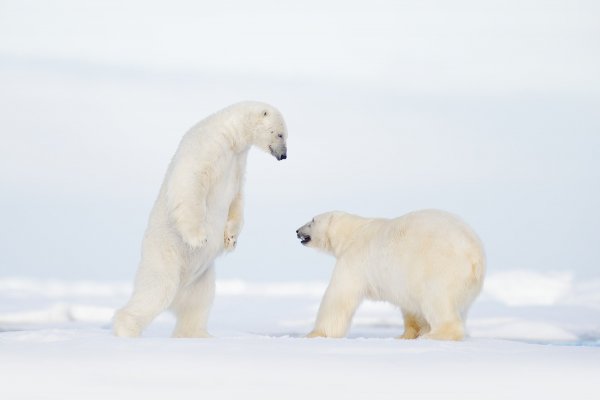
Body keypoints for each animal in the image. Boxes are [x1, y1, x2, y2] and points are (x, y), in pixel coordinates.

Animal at [115, 101, 290, 338]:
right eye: (280, 134)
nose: (284, 155)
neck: (232, 136)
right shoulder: (208, 145)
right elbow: (190, 182)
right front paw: (199, 238)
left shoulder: (238, 163)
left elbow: (237, 199)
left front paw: (231, 240)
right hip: (165, 257)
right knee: (156, 291)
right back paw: (127, 329)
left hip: (201, 277)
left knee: (198, 303)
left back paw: (197, 334)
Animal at [298, 209, 486, 340]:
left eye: (313, 220)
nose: (297, 231)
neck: (352, 232)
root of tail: (475, 256)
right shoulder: (404, 278)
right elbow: (411, 308)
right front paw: (406, 335)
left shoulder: (354, 260)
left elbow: (338, 296)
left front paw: (314, 334)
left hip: (440, 269)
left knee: (437, 301)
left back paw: (434, 334)